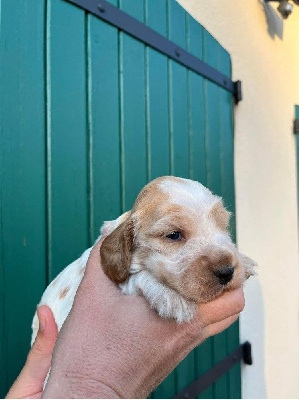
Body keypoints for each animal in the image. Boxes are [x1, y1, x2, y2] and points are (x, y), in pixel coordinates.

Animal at [31, 177, 255, 346]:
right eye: (174, 235)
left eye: (222, 226)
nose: (227, 271)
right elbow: (138, 277)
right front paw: (171, 298)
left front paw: (245, 262)